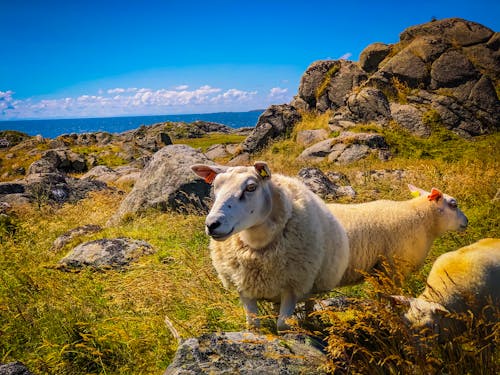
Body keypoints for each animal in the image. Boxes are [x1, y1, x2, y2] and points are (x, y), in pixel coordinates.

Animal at [189, 162, 350, 332]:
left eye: (251, 187)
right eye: (215, 186)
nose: (212, 224)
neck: (257, 243)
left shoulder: (292, 285)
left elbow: (283, 325)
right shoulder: (243, 285)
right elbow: (253, 326)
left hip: (309, 283)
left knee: (309, 305)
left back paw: (309, 322)